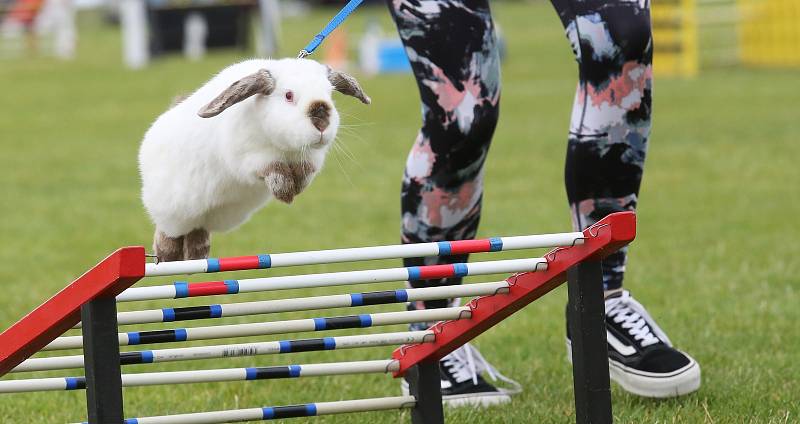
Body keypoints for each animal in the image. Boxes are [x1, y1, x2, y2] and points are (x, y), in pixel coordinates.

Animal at [138, 57, 372, 260]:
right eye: (288, 95)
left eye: (329, 93)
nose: (321, 120)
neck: (284, 147)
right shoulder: (252, 160)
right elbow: (274, 171)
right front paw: (286, 193)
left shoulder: (311, 159)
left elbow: (304, 174)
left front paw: (296, 189)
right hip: (173, 208)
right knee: (169, 232)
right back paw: (167, 257)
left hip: (209, 216)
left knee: (197, 232)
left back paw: (196, 257)